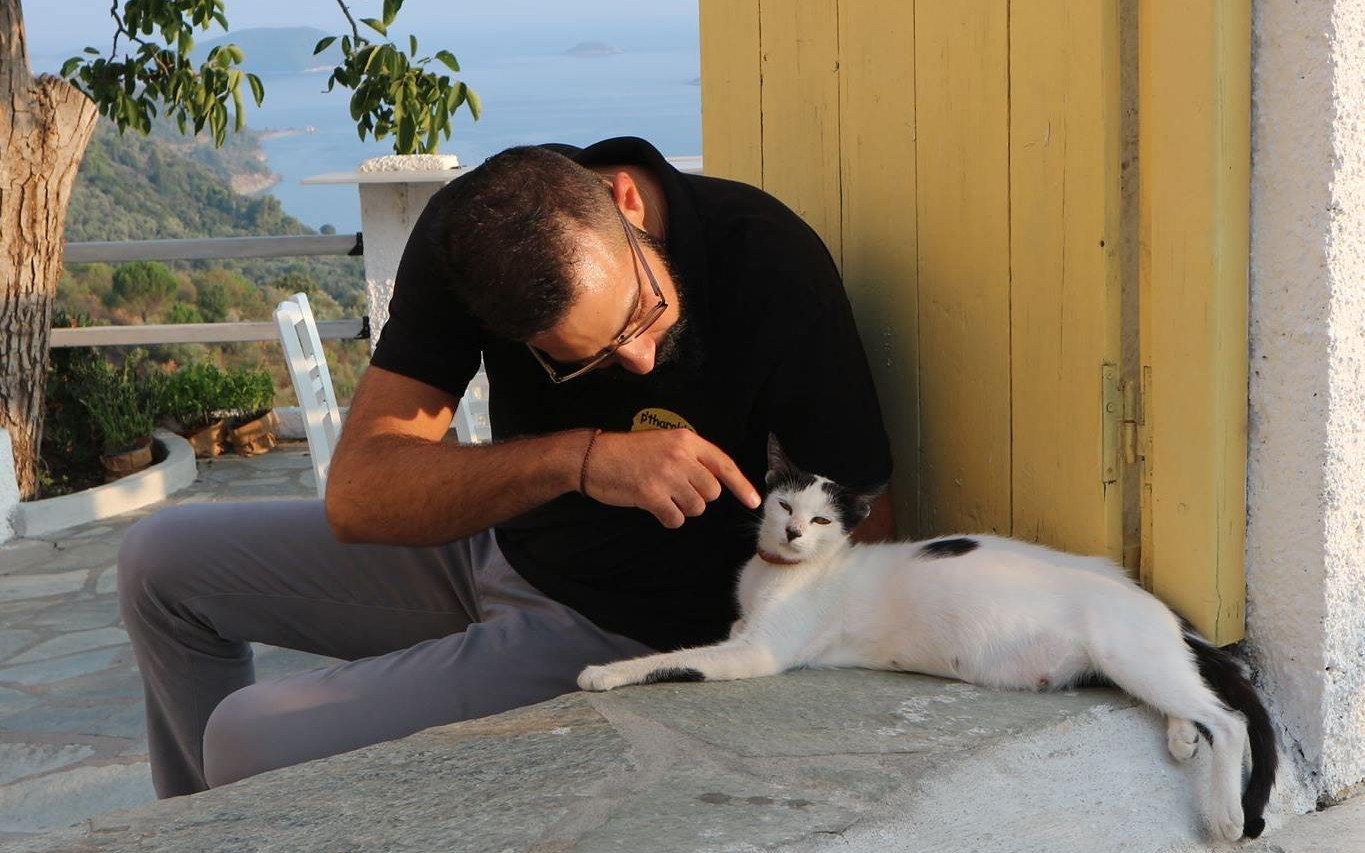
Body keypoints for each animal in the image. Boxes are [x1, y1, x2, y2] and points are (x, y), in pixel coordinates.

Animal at [578, 436, 1277, 842]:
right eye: (784, 507)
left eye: (822, 520)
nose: (795, 534)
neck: (780, 574)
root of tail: (1145, 597)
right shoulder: (741, 630)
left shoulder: (754, 652)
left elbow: (672, 660)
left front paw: (603, 673)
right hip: (1130, 663)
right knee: (1193, 700)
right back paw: (1182, 736)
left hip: (1129, 652)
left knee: (1230, 719)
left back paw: (1224, 811)